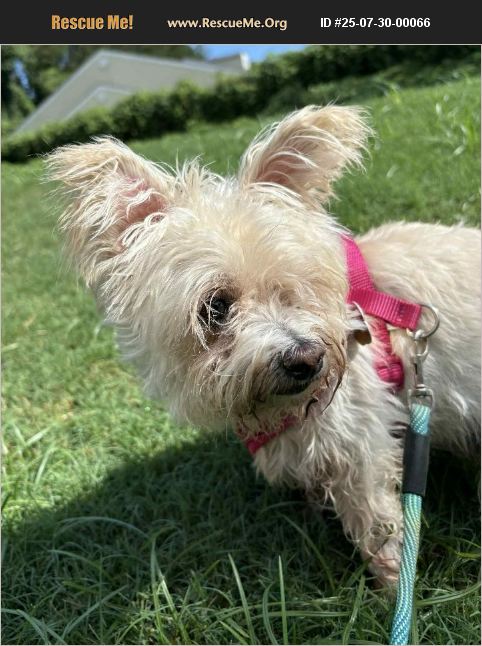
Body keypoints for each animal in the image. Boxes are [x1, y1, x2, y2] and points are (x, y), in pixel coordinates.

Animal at [48, 106, 481, 586]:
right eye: (215, 307)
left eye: (296, 286)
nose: (306, 359)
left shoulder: (360, 446)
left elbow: (377, 524)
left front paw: (393, 585)